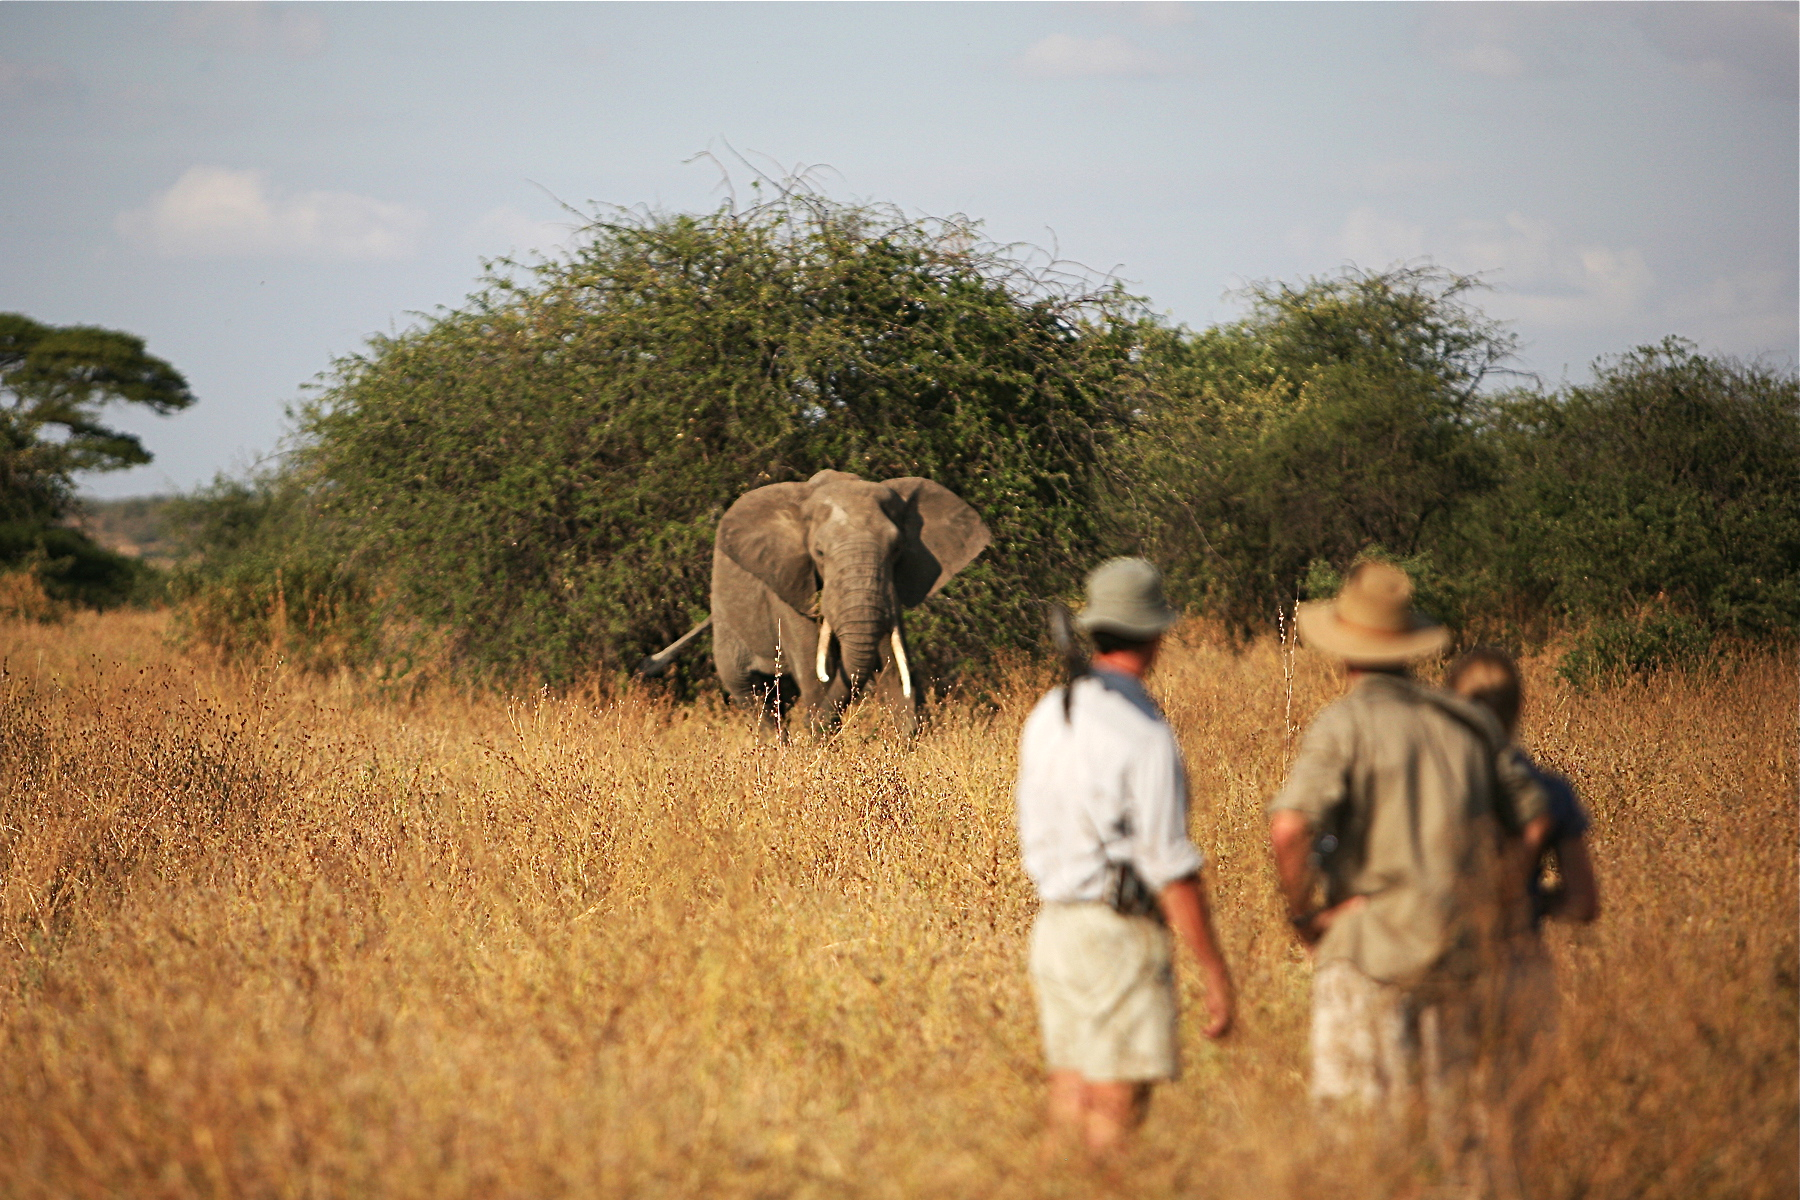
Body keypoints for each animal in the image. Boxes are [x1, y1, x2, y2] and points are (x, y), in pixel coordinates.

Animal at [707, 469, 989, 737]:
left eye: (896, 549)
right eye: (819, 552)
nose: (807, 727)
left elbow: (894, 665)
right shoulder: (789, 586)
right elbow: (815, 672)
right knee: (752, 694)